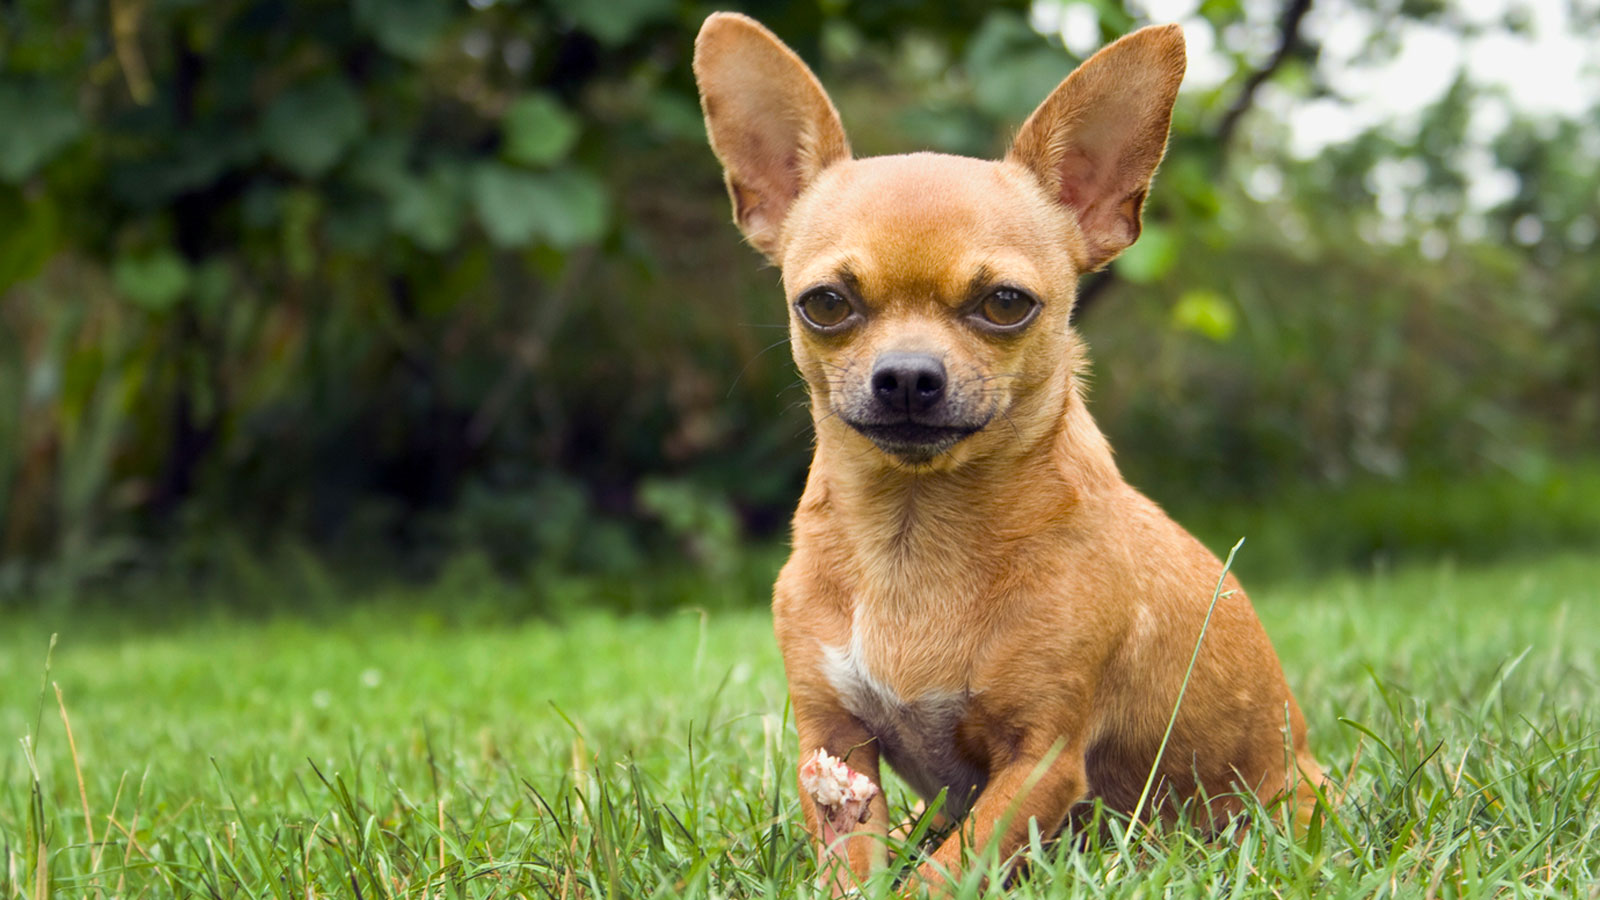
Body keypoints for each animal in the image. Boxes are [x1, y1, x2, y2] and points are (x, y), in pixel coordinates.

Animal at [694, 12, 1318, 890]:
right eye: (825, 304)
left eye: (1006, 304)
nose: (908, 376)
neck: (914, 536)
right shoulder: (835, 744)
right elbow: (857, 865)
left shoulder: (1040, 761)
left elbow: (946, 874)